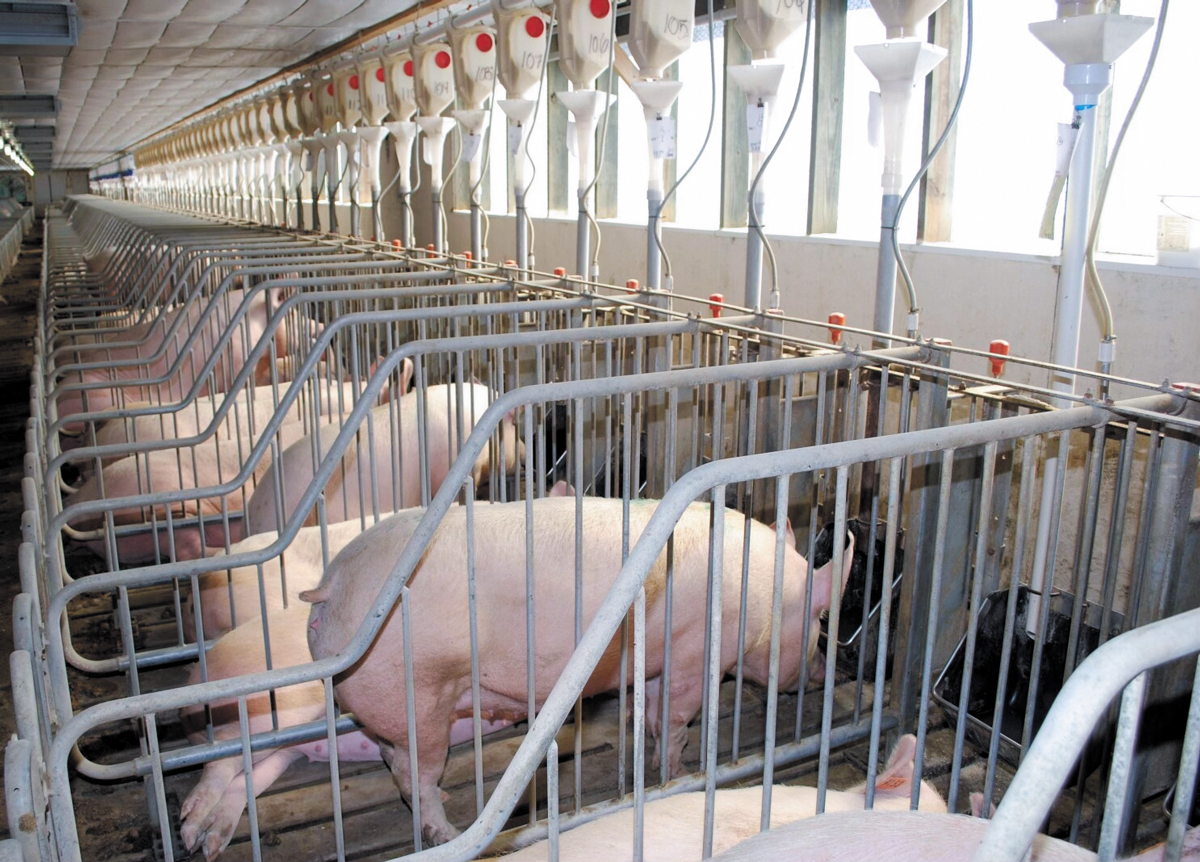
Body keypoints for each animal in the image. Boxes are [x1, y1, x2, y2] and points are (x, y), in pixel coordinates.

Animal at [179, 605, 510, 861]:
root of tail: (196, 679)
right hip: (278, 711)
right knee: (222, 755)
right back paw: (188, 828)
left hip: (286, 748)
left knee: (243, 780)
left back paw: (208, 843)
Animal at [302, 497, 854, 845]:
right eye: (821, 619)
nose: (823, 671)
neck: (770, 597)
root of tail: (331, 585)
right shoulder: (695, 656)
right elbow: (676, 720)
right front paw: (678, 773)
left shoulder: (657, 660)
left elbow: (652, 713)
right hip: (421, 691)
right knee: (413, 774)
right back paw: (449, 831)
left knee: (393, 760)